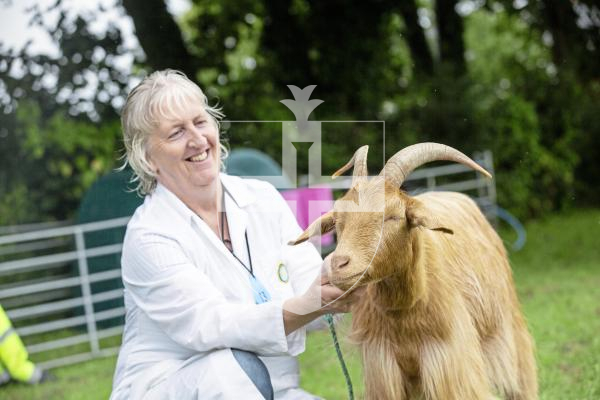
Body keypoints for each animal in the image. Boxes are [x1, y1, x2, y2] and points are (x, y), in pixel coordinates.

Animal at [292, 144, 540, 400]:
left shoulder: (451, 365)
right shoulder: (383, 368)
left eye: (393, 216)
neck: (406, 311)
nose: (338, 263)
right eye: (338, 218)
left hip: (507, 330)